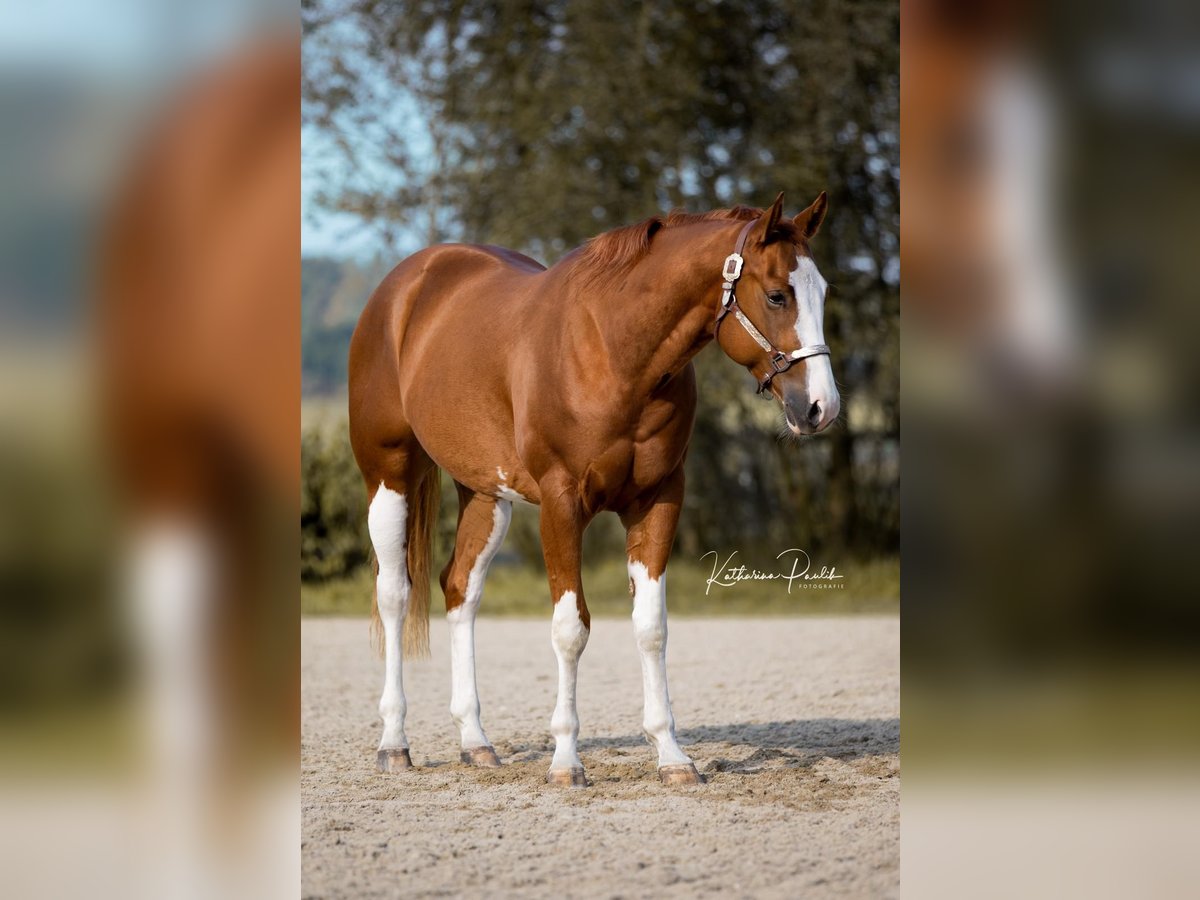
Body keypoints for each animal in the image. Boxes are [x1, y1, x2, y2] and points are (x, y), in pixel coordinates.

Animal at [348, 192, 839, 786]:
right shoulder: (561, 504)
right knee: (395, 595)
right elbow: (570, 628)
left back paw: (475, 742)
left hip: (486, 494)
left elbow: (651, 628)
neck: (614, 353)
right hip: (388, 474)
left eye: (823, 291)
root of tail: (405, 285)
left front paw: (672, 756)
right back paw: (394, 743)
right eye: (776, 295)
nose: (821, 408)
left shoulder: (658, 500)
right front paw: (565, 761)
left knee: (460, 589)